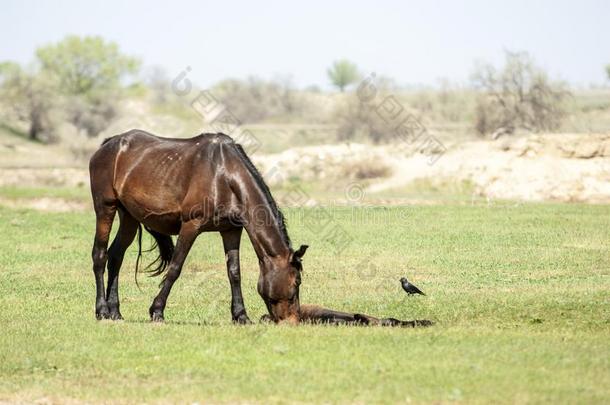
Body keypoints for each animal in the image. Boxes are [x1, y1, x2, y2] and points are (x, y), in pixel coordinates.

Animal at [88, 128, 306, 324]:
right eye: (297, 281)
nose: (293, 320)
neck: (224, 176)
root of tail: (108, 144)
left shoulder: (231, 230)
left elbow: (234, 273)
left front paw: (241, 315)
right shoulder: (190, 226)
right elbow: (175, 268)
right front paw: (157, 311)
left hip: (129, 217)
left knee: (116, 256)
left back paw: (115, 311)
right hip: (105, 208)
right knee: (100, 255)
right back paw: (102, 311)